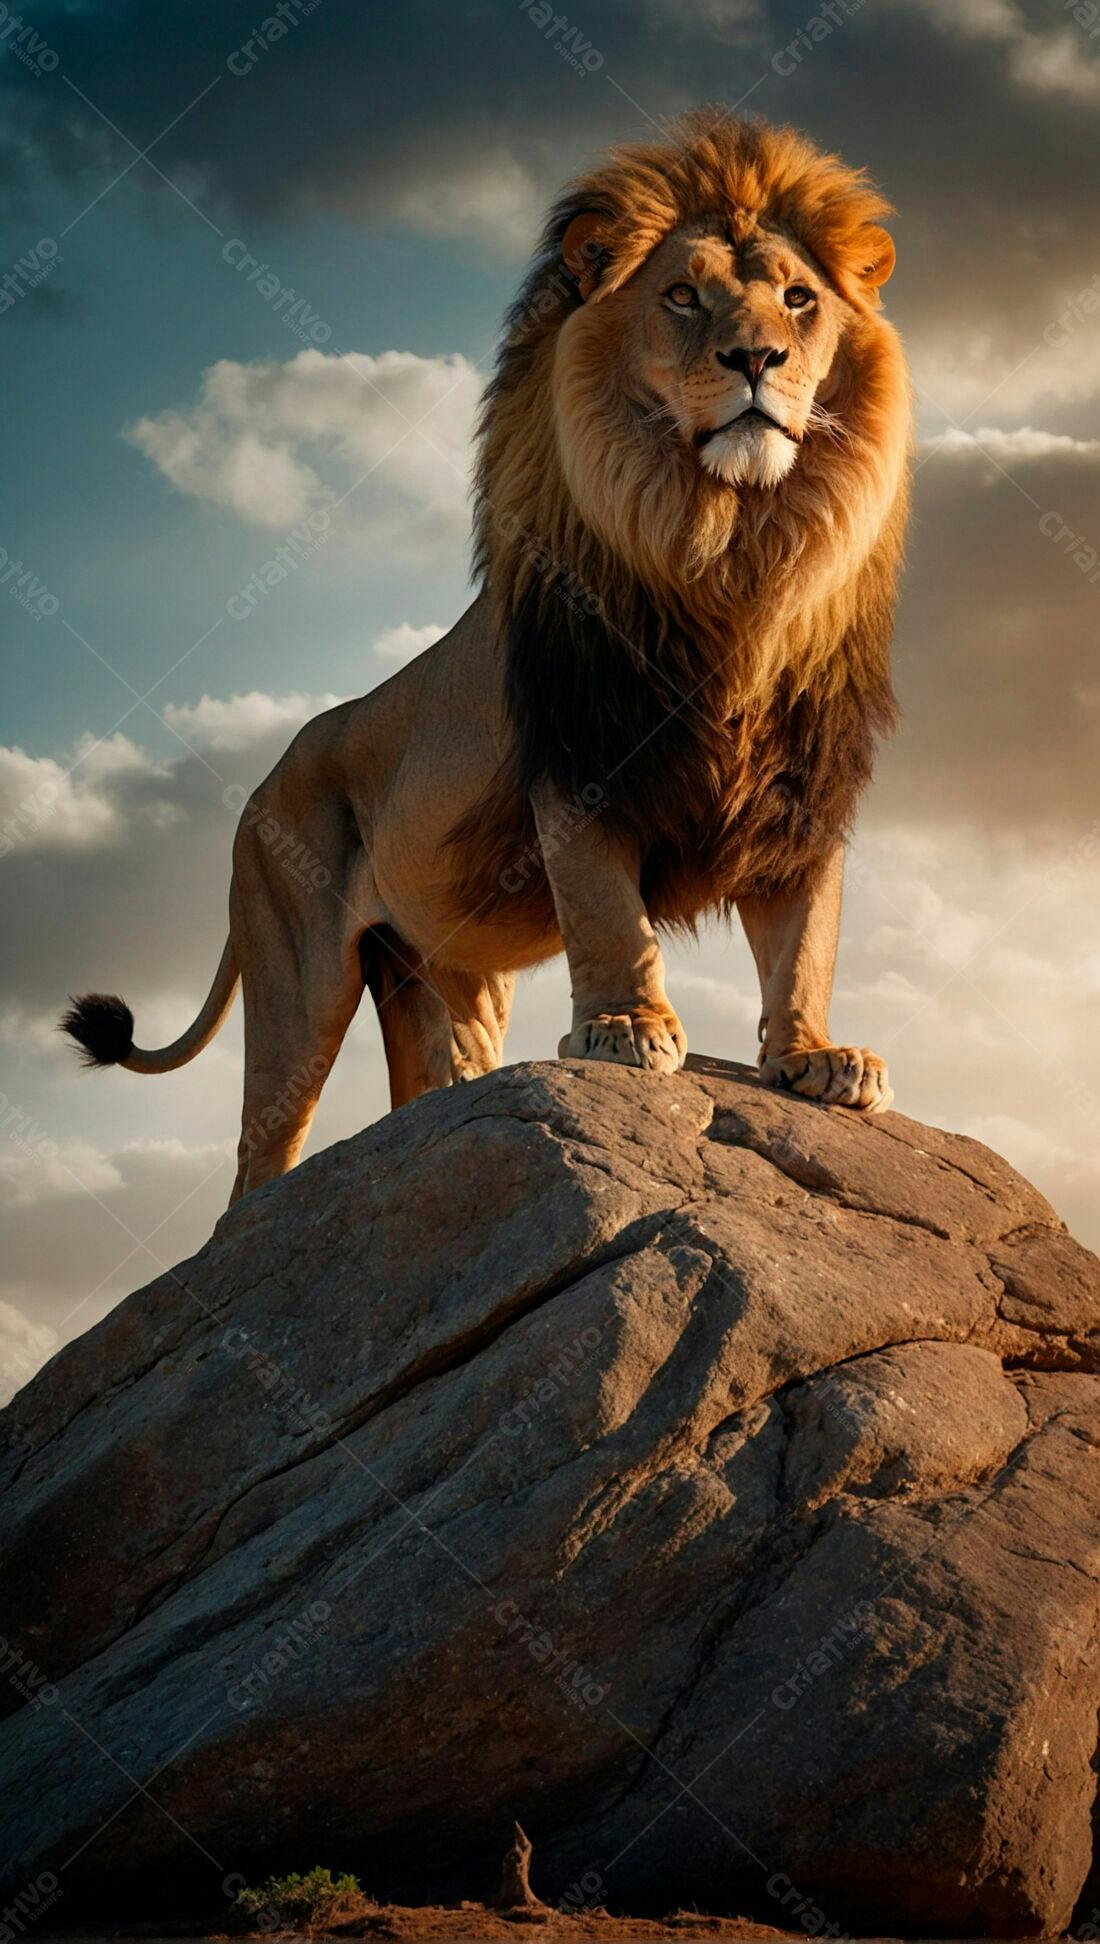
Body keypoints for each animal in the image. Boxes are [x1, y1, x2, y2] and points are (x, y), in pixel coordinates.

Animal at [62, 110, 911, 1204]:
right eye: (681, 296)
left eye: (799, 300)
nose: (755, 356)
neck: (732, 554)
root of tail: (260, 788)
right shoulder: (580, 759)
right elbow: (608, 913)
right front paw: (625, 1030)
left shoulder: (802, 783)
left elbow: (805, 938)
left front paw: (816, 1055)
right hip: (296, 968)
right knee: (258, 1160)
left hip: (441, 972)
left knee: (432, 1092)